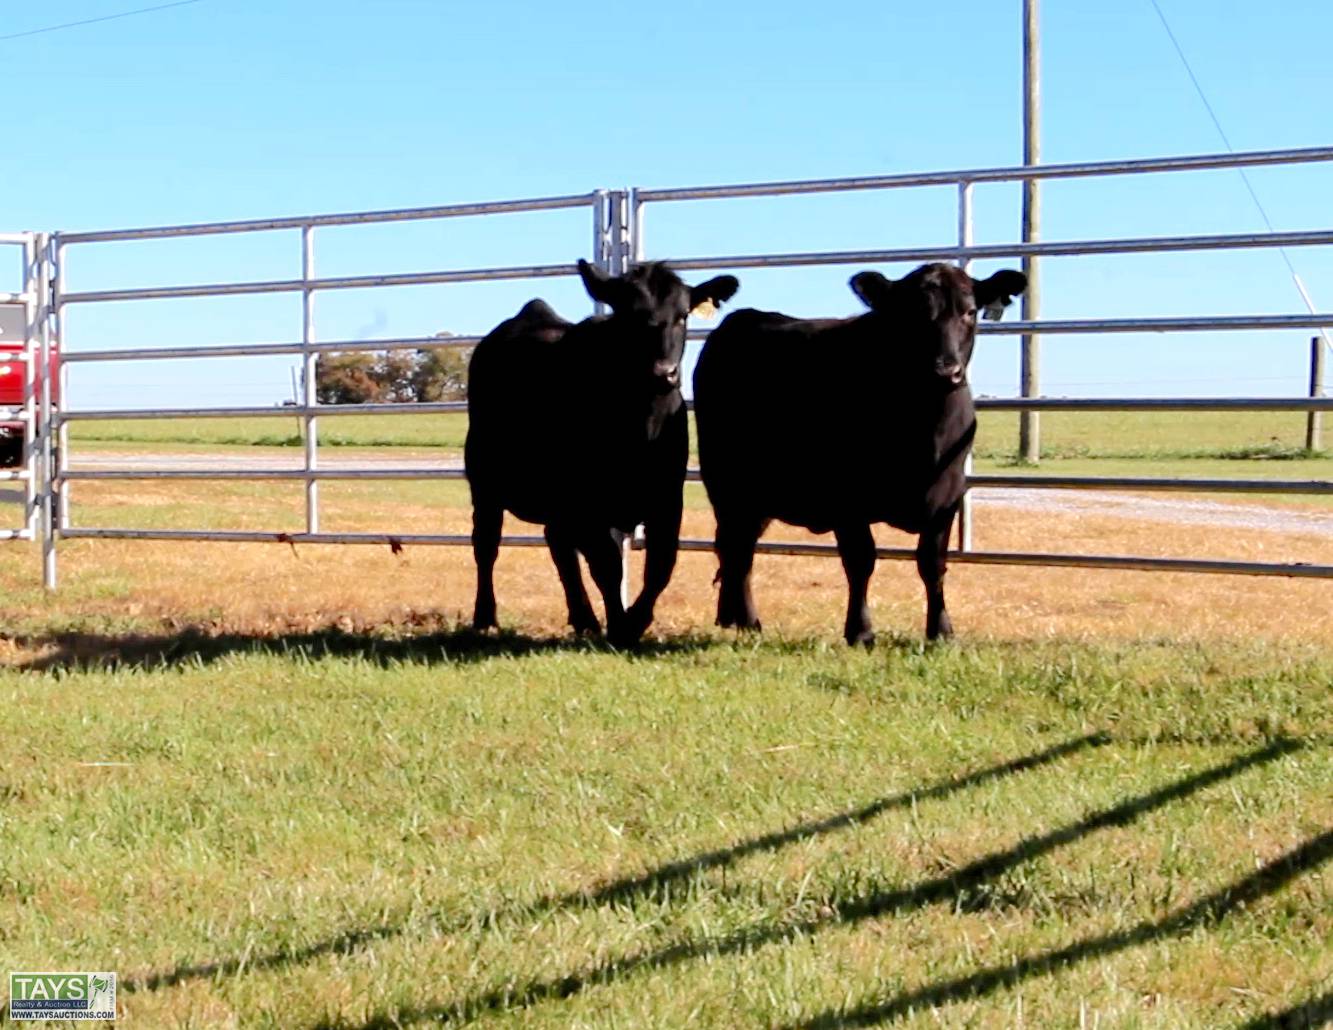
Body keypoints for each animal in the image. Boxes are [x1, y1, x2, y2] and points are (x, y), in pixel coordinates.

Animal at [465, 259, 740, 645]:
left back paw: (583, 618)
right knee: (486, 544)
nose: (663, 373)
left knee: (558, 544)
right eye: (626, 314)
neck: (640, 428)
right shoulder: (588, 502)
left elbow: (661, 563)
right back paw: (485, 616)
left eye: (683, 315)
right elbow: (608, 565)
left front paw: (635, 620)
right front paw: (620, 625)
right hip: (484, 480)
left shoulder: (667, 497)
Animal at [692, 262, 1027, 644]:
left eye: (969, 311)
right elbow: (861, 560)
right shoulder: (846, 499)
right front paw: (861, 630)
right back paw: (747, 620)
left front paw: (941, 630)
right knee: (737, 548)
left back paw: (733, 616)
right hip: (728, 485)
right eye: (911, 313)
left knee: (738, 547)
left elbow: (933, 564)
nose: (946, 370)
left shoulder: (948, 496)